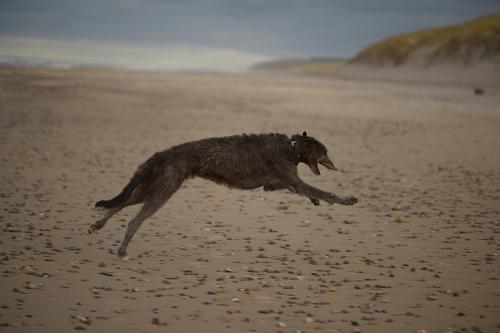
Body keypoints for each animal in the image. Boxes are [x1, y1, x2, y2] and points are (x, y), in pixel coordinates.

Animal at [89, 131, 356, 258]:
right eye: (324, 151)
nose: (335, 166)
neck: (292, 146)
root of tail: (160, 154)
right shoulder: (288, 177)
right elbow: (321, 191)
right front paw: (347, 199)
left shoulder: (276, 183)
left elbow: (304, 190)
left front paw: (315, 199)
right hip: (162, 191)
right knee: (134, 219)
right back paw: (122, 250)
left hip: (150, 187)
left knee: (120, 204)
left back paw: (97, 225)